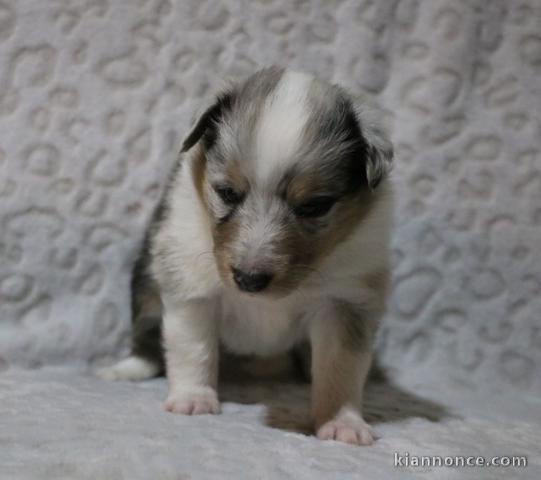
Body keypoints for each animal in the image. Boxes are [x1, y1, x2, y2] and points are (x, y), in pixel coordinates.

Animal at [99, 67, 392, 446]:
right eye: (226, 192)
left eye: (314, 206)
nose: (249, 281)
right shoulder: (191, 283)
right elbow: (193, 346)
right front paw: (193, 399)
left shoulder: (345, 299)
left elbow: (340, 367)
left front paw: (342, 423)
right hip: (146, 287)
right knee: (147, 340)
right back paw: (123, 369)